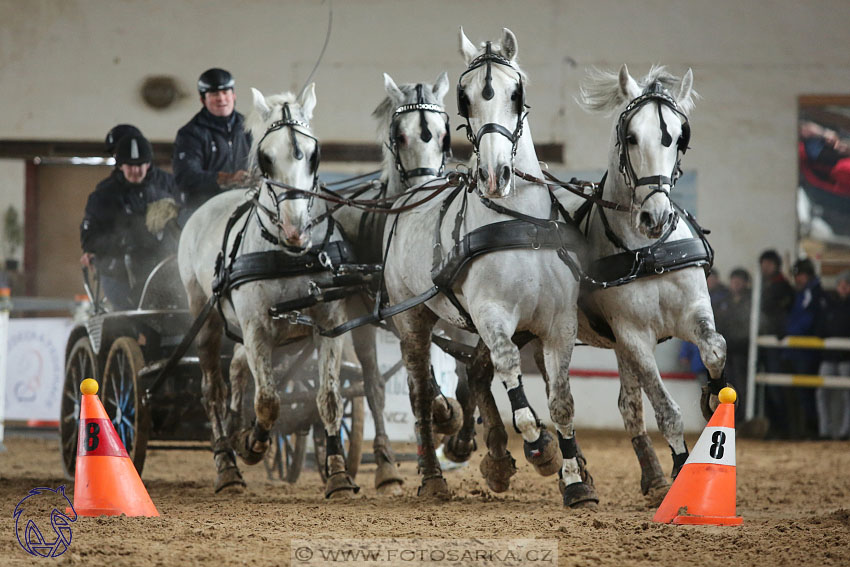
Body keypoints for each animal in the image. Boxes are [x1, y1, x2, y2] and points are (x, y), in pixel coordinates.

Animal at [179, 84, 358, 496]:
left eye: (313, 153)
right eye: (265, 157)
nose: (296, 230)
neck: (290, 254)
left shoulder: (329, 322)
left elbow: (328, 398)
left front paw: (338, 474)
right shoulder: (257, 325)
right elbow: (268, 401)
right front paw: (251, 444)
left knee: (237, 369)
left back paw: (233, 428)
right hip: (207, 317)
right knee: (213, 389)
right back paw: (227, 464)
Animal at [380, 27, 592, 506]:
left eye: (517, 92)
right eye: (466, 98)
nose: (496, 175)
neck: (519, 223)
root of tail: (415, 192)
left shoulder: (559, 323)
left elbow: (562, 401)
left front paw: (574, 480)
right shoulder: (493, 315)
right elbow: (512, 377)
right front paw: (540, 447)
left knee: (474, 373)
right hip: (412, 318)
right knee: (421, 393)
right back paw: (433, 476)